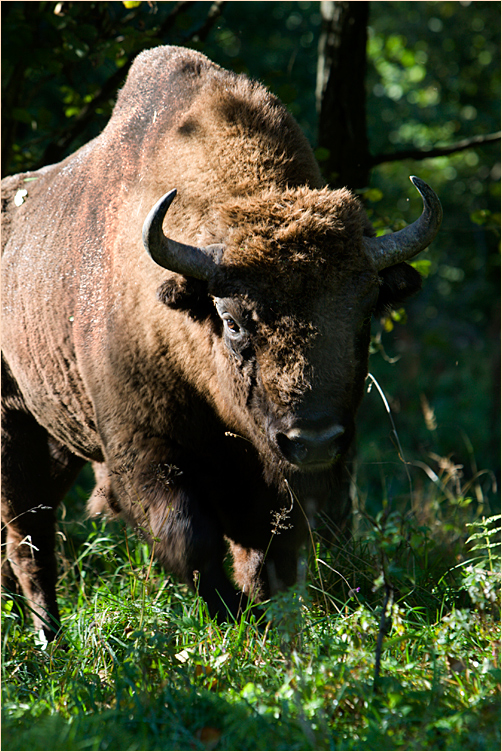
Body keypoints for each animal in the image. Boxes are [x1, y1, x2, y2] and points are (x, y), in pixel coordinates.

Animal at [0, 45, 440, 640]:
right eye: (231, 320)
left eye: (367, 309)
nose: (314, 440)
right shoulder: (144, 457)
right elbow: (193, 544)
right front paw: (235, 624)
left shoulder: (279, 477)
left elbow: (270, 556)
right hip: (14, 424)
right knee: (29, 539)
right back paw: (51, 638)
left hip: (57, 433)